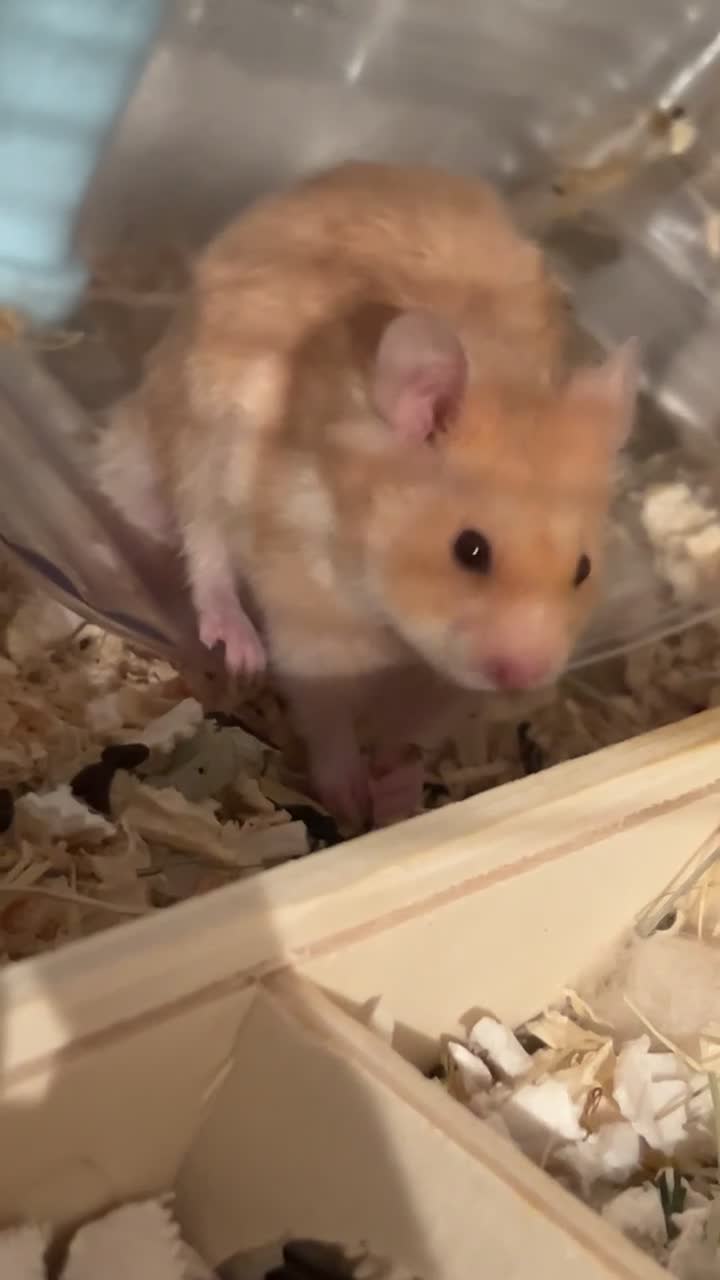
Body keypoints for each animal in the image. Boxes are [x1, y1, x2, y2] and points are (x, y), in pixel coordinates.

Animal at [96, 161, 639, 826]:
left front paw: (397, 798)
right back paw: (241, 650)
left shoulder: (443, 685)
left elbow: (411, 736)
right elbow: (325, 711)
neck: (395, 624)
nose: (526, 676)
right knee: (205, 552)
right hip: (198, 441)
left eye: (583, 569)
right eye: (470, 550)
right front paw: (349, 798)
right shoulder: (310, 612)